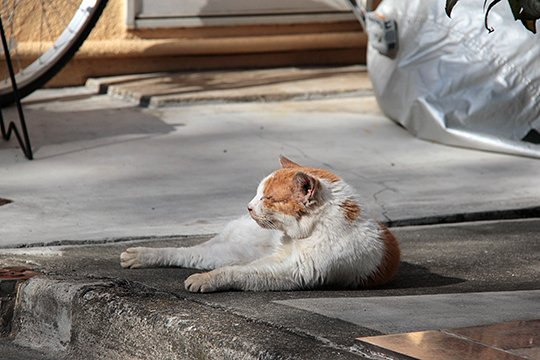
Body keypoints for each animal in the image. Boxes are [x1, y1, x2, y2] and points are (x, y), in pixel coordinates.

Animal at [120, 155, 398, 292]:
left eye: (268, 198)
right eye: (258, 193)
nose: (249, 206)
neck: (302, 234)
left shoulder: (289, 271)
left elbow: (237, 273)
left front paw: (206, 280)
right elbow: (236, 272)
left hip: (234, 253)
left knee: (198, 257)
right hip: (229, 249)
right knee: (186, 252)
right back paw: (141, 255)